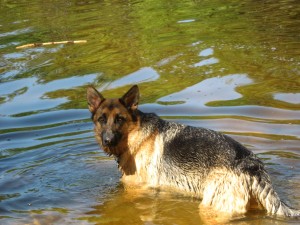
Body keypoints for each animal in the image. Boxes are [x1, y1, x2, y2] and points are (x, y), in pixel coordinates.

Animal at [86, 84, 300, 216]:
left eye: (119, 119)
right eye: (102, 120)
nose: (107, 140)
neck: (135, 134)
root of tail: (252, 164)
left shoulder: (137, 191)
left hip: (211, 207)